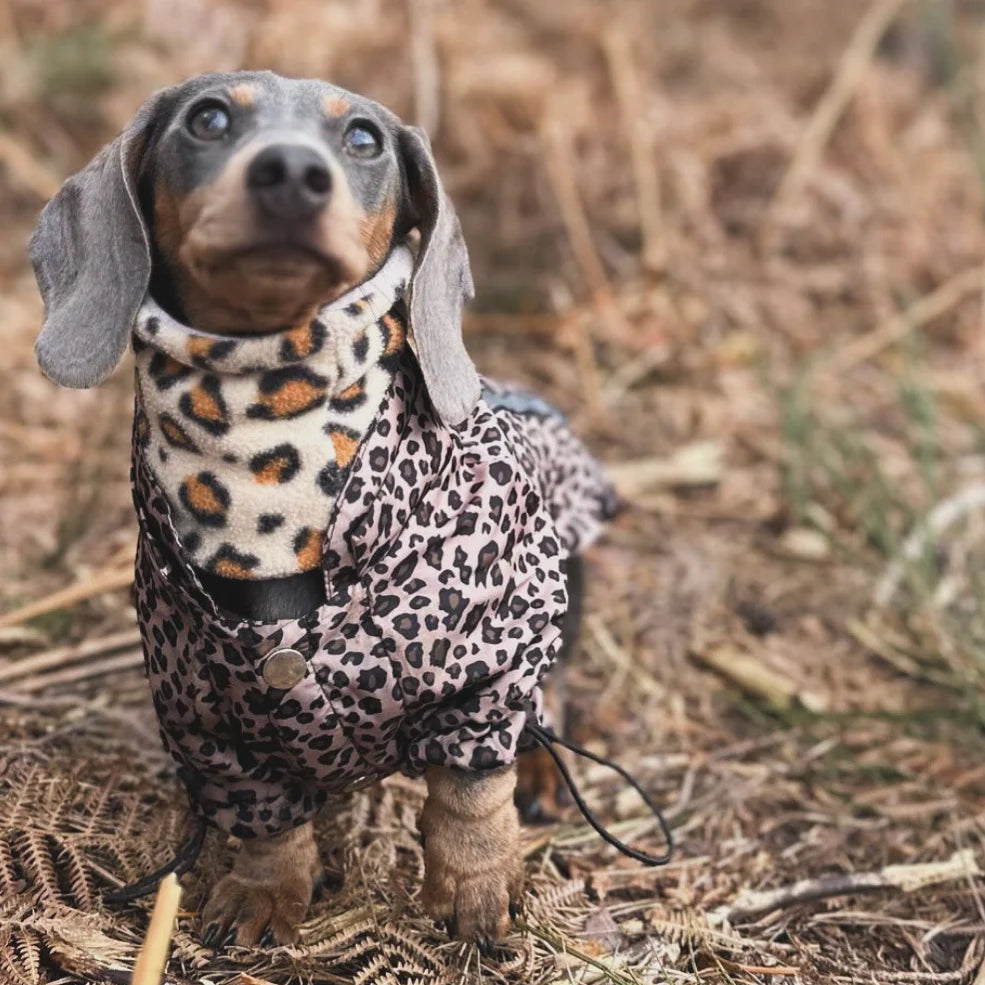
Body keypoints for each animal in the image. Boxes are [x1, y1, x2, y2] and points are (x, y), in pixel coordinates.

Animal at [30, 71, 624, 952]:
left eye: (363, 138)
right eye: (208, 119)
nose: (290, 174)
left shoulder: (489, 667)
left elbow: (470, 788)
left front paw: (476, 885)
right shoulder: (208, 728)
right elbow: (268, 820)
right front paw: (262, 891)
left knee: (553, 701)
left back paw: (545, 767)